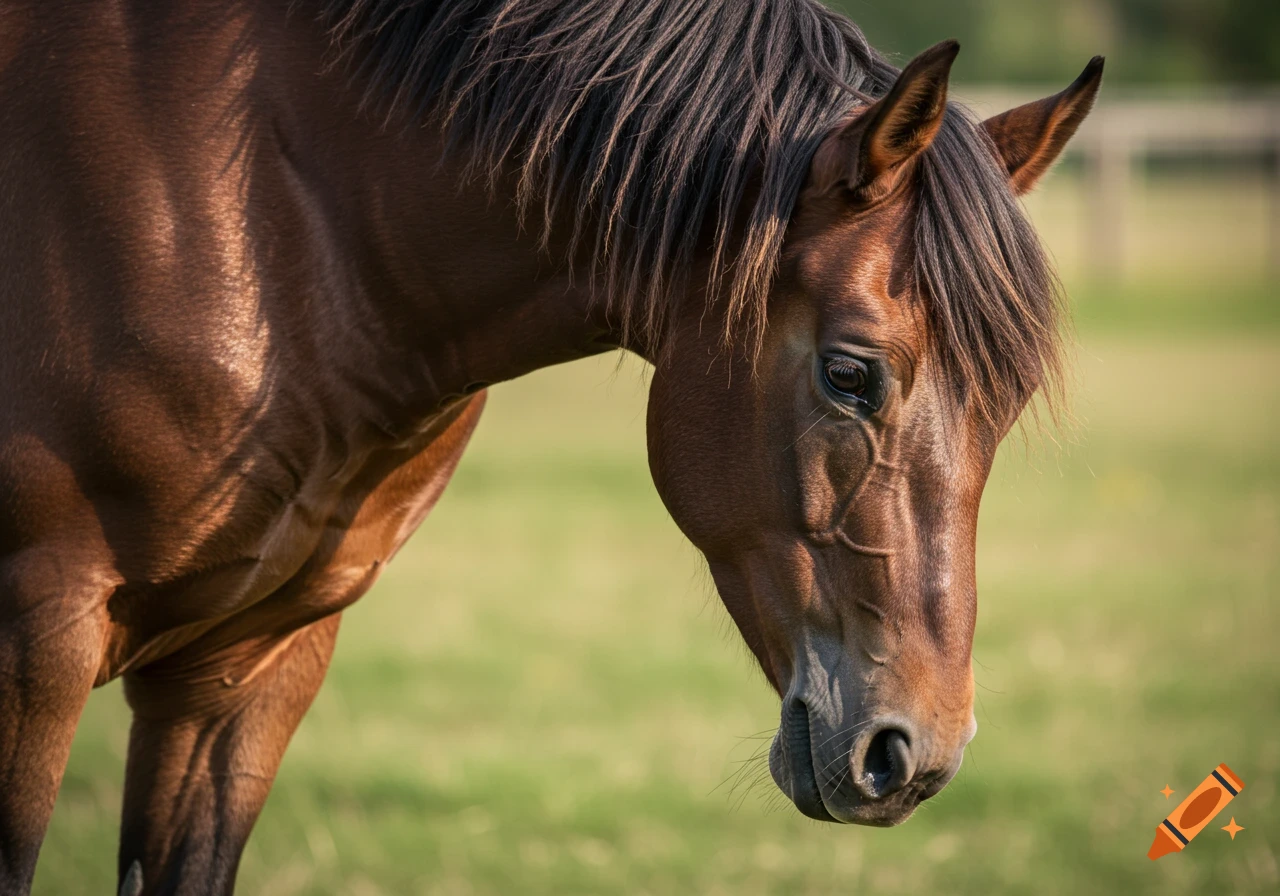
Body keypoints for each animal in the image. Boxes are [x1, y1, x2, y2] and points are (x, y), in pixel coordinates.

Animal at [0, 0, 1102, 892]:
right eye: (848, 372)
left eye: (1004, 405)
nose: (914, 754)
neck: (279, 221)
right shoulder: (35, 636)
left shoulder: (252, 662)